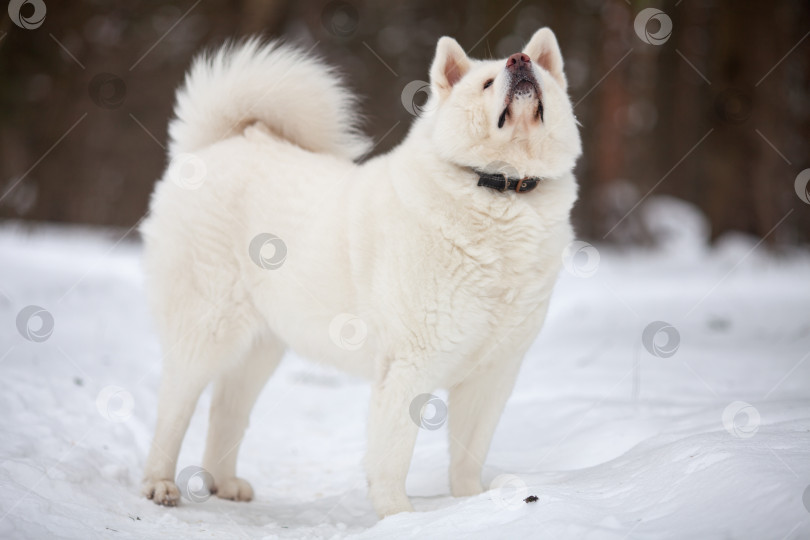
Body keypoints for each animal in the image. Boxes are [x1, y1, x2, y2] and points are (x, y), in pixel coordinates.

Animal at [142, 27, 576, 516]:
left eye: (536, 70)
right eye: (486, 82)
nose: (520, 60)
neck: (502, 192)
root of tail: (214, 146)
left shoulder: (493, 374)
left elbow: (469, 453)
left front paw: (471, 504)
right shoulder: (409, 365)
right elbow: (393, 453)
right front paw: (398, 517)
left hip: (261, 346)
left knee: (225, 412)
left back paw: (225, 484)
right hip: (206, 330)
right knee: (174, 411)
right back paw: (159, 485)